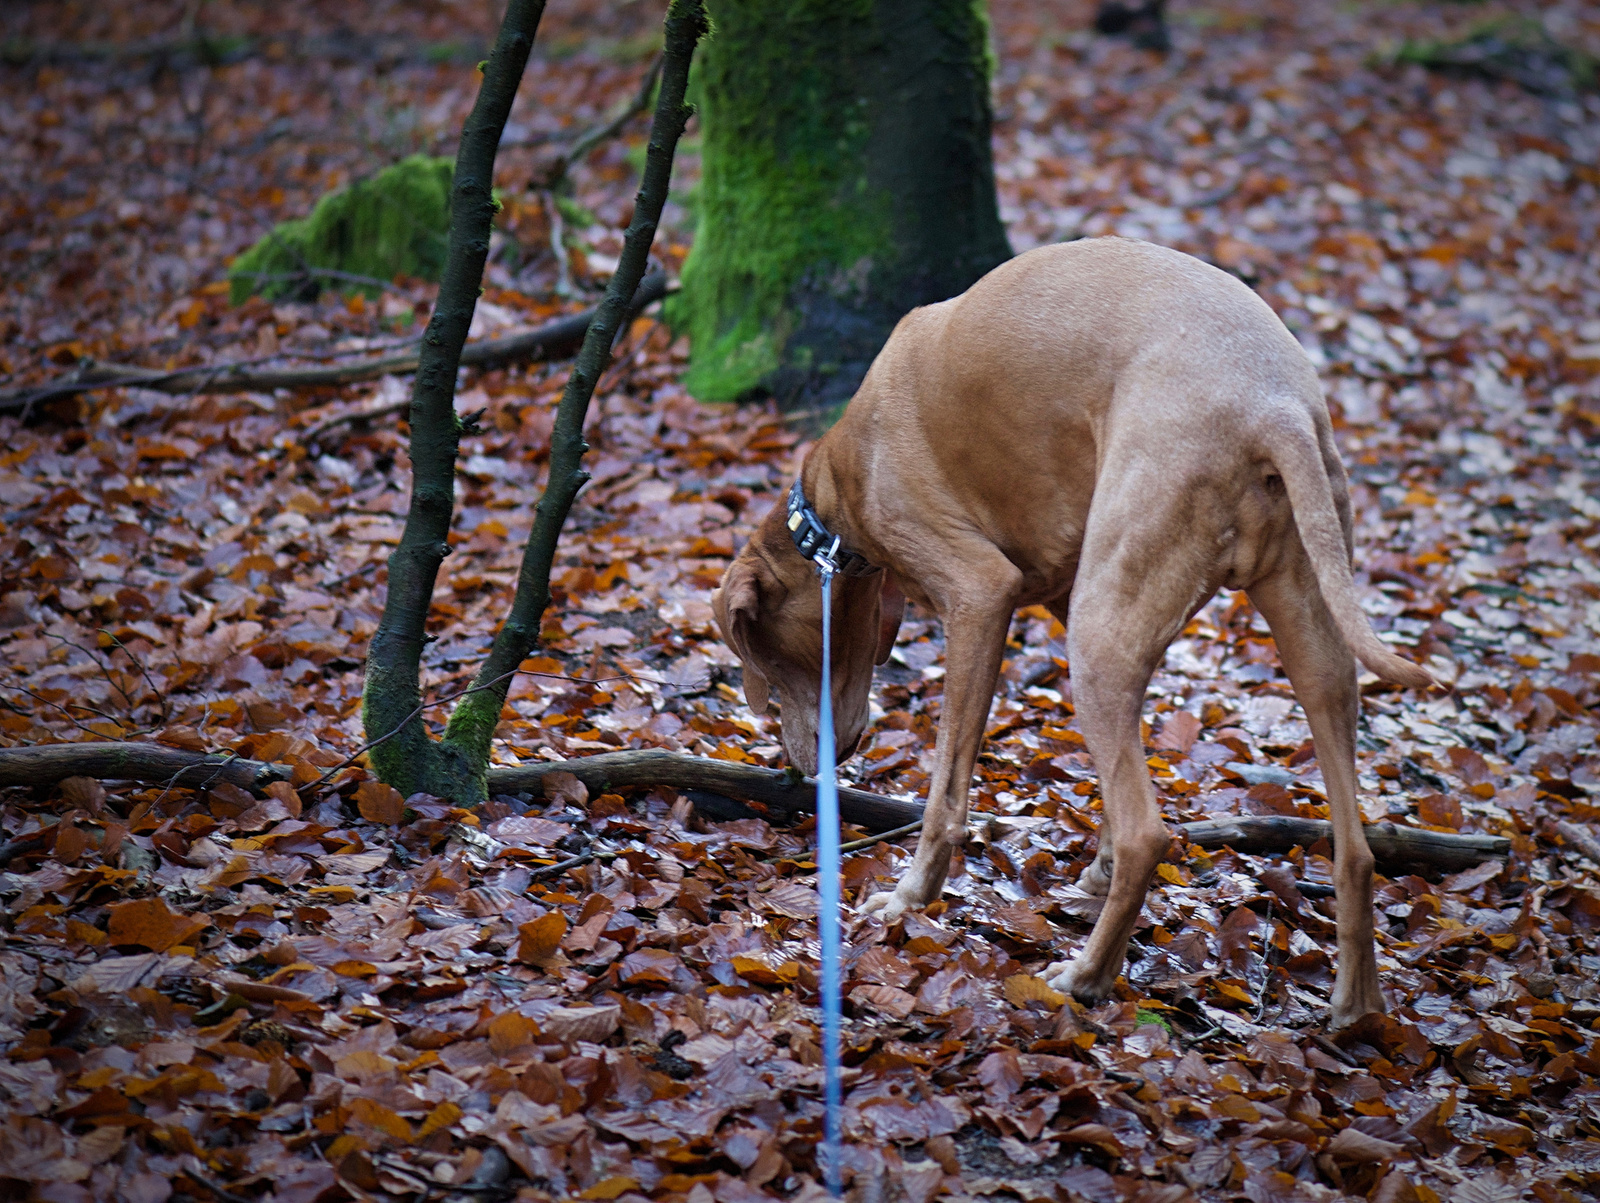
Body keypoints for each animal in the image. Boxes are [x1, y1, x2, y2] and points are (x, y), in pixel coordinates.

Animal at [713, 235, 1440, 1023]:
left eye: (761, 668)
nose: (800, 770)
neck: (839, 488)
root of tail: (1273, 404)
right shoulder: (1060, 594)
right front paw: (1092, 869)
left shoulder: (980, 595)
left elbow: (946, 792)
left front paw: (910, 898)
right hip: (1299, 632)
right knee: (1354, 845)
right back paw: (1356, 1006)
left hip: (1097, 641)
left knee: (1151, 832)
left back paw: (1087, 975)